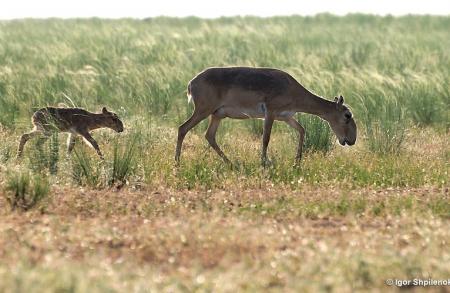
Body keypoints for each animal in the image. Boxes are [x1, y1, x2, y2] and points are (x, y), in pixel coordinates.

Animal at [175, 67, 356, 165]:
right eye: (347, 115)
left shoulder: (286, 117)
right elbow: (265, 138)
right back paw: (177, 163)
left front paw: (297, 162)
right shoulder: (270, 112)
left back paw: (231, 163)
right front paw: (264, 163)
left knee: (209, 136)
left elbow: (302, 130)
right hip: (203, 111)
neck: (293, 89)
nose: (351, 140)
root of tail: (191, 83)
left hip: (217, 115)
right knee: (182, 128)